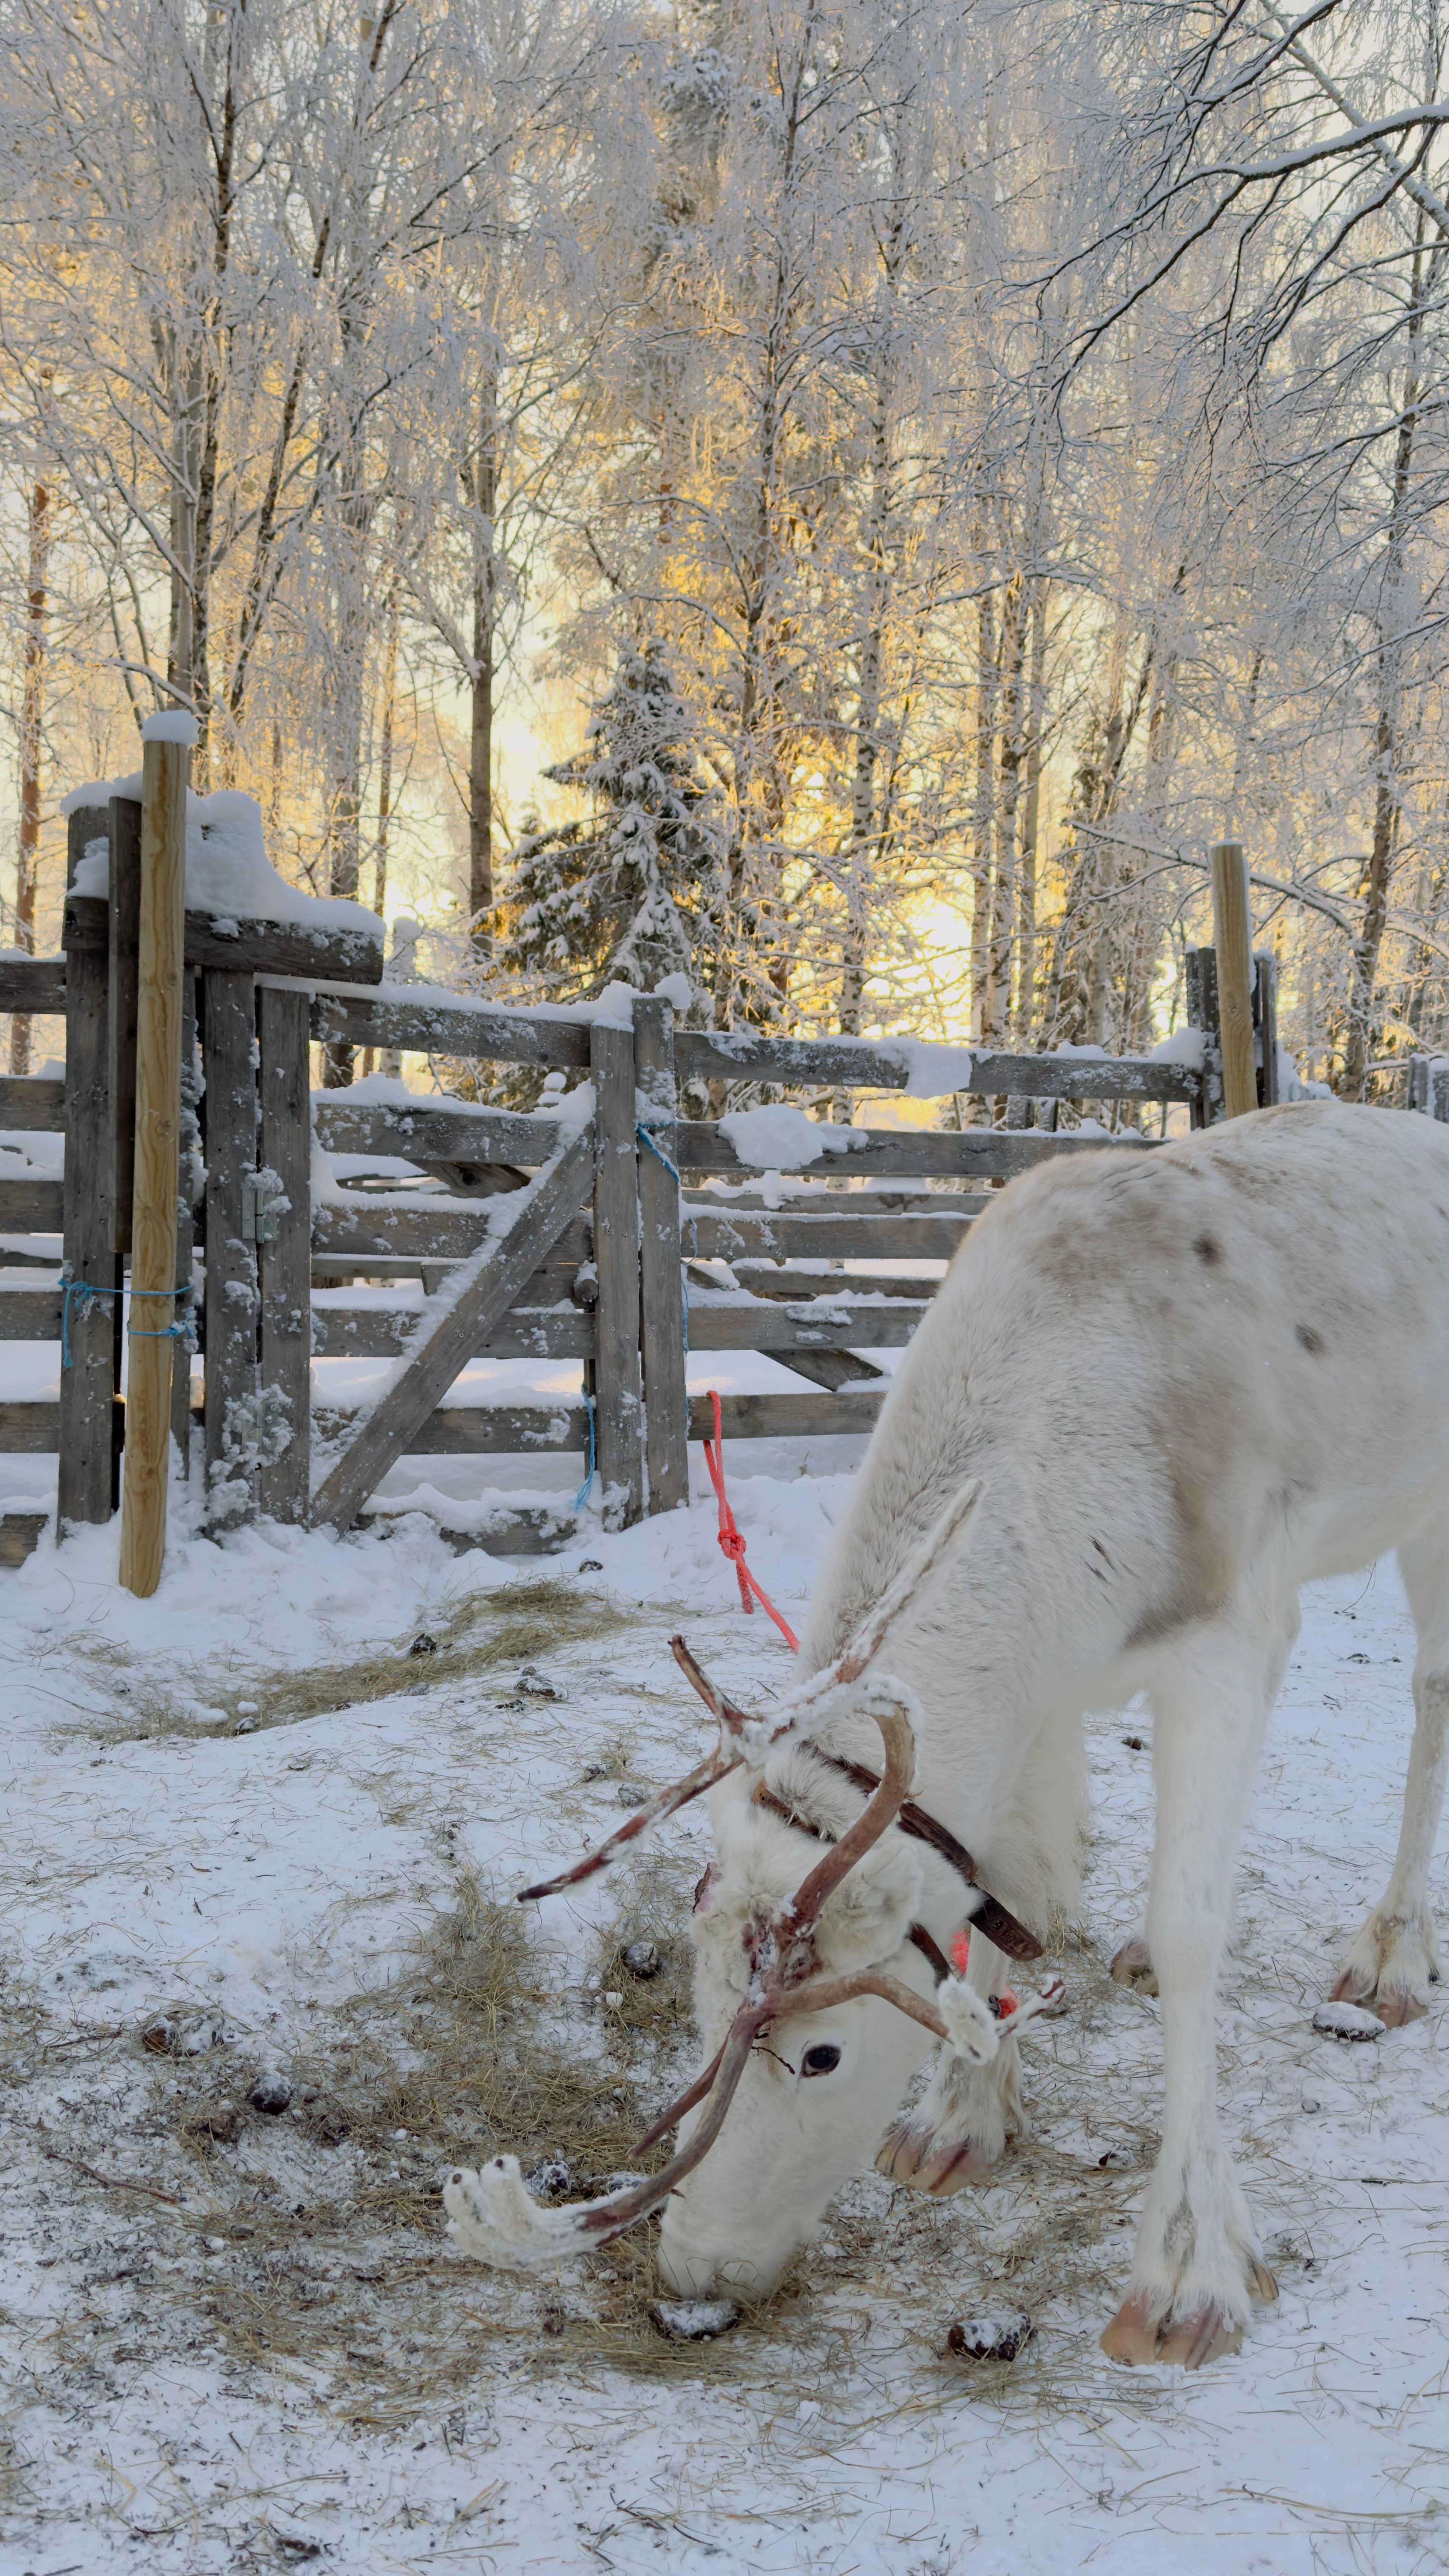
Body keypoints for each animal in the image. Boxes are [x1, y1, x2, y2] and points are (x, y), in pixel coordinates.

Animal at [445, 1101, 1449, 2369]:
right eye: (698, 2007)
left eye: (821, 2052)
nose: (691, 2278)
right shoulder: (1052, 1692)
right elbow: (1008, 1890)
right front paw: (961, 2118)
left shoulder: (1220, 1640)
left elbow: (1191, 1935)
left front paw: (1186, 2270)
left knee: (1429, 1686)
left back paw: (1389, 1950)